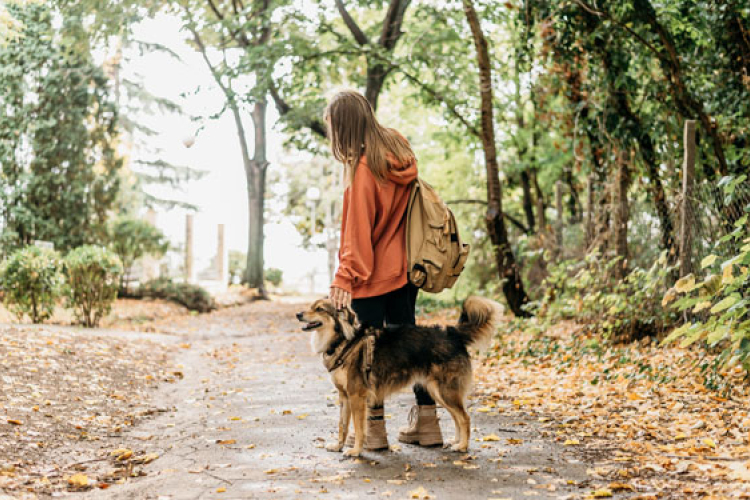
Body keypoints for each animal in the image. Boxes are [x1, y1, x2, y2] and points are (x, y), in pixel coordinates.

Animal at [296, 296, 502, 458]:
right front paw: (338, 446)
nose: (298, 314)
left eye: (319, 309)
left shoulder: (356, 396)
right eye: (311, 306)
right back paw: (456, 441)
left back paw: (463, 446)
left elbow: (358, 427)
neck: (343, 341)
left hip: (445, 391)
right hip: (439, 392)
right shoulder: (344, 396)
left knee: (464, 417)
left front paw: (356, 451)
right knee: (457, 417)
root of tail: (453, 334)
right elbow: (342, 425)